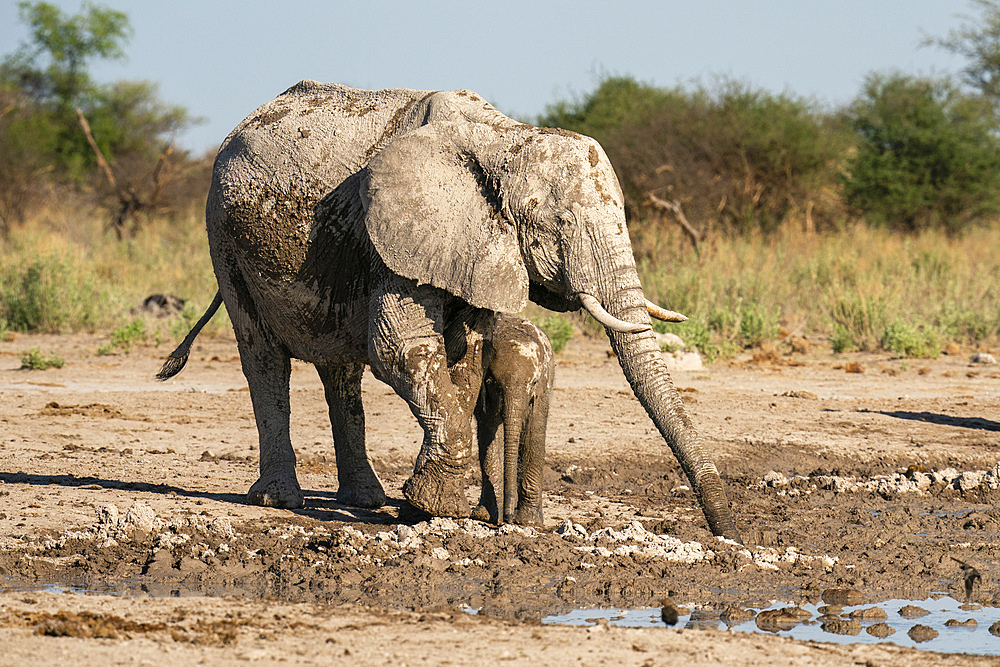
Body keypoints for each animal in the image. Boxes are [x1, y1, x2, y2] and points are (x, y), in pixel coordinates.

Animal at [470, 314, 556, 528]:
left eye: (533, 383)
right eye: (492, 382)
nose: (506, 520)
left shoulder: (543, 389)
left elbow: (534, 432)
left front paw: (527, 521)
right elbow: (489, 431)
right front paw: (487, 515)